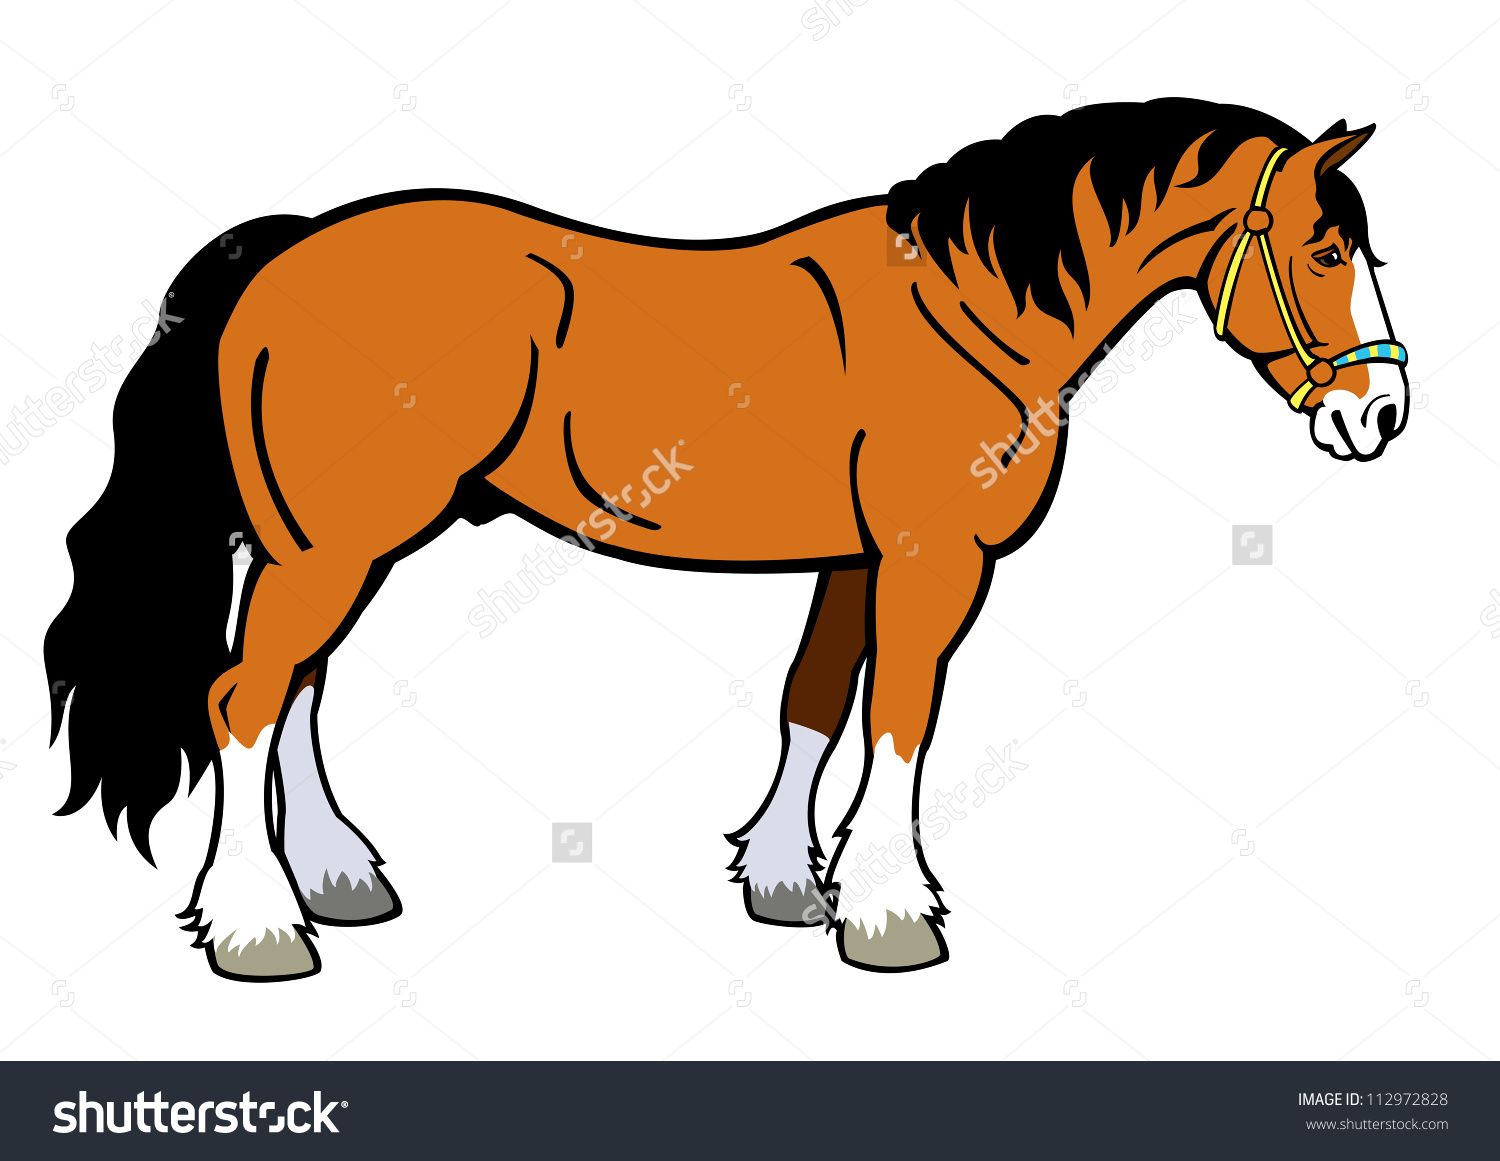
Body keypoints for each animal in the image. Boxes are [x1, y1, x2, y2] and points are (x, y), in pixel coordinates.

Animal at [44, 98, 1409, 981]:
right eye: (1323, 247)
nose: (1378, 414)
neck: (966, 309)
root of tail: (289, 249)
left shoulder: (858, 562)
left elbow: (820, 698)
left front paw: (791, 882)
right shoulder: (932, 563)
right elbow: (901, 719)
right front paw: (890, 915)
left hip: (333, 545)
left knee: (295, 690)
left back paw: (337, 878)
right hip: (335, 547)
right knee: (241, 697)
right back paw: (259, 929)